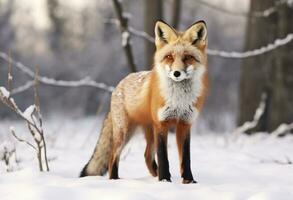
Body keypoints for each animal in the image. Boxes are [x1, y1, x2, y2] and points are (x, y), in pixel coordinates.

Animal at [80, 19, 208, 183]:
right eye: (169, 57)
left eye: (187, 57)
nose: (176, 73)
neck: (178, 100)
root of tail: (118, 85)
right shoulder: (161, 124)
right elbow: (163, 157)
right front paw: (165, 180)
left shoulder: (185, 124)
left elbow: (186, 159)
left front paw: (188, 181)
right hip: (125, 132)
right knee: (113, 156)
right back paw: (115, 180)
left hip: (147, 131)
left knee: (147, 156)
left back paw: (154, 175)